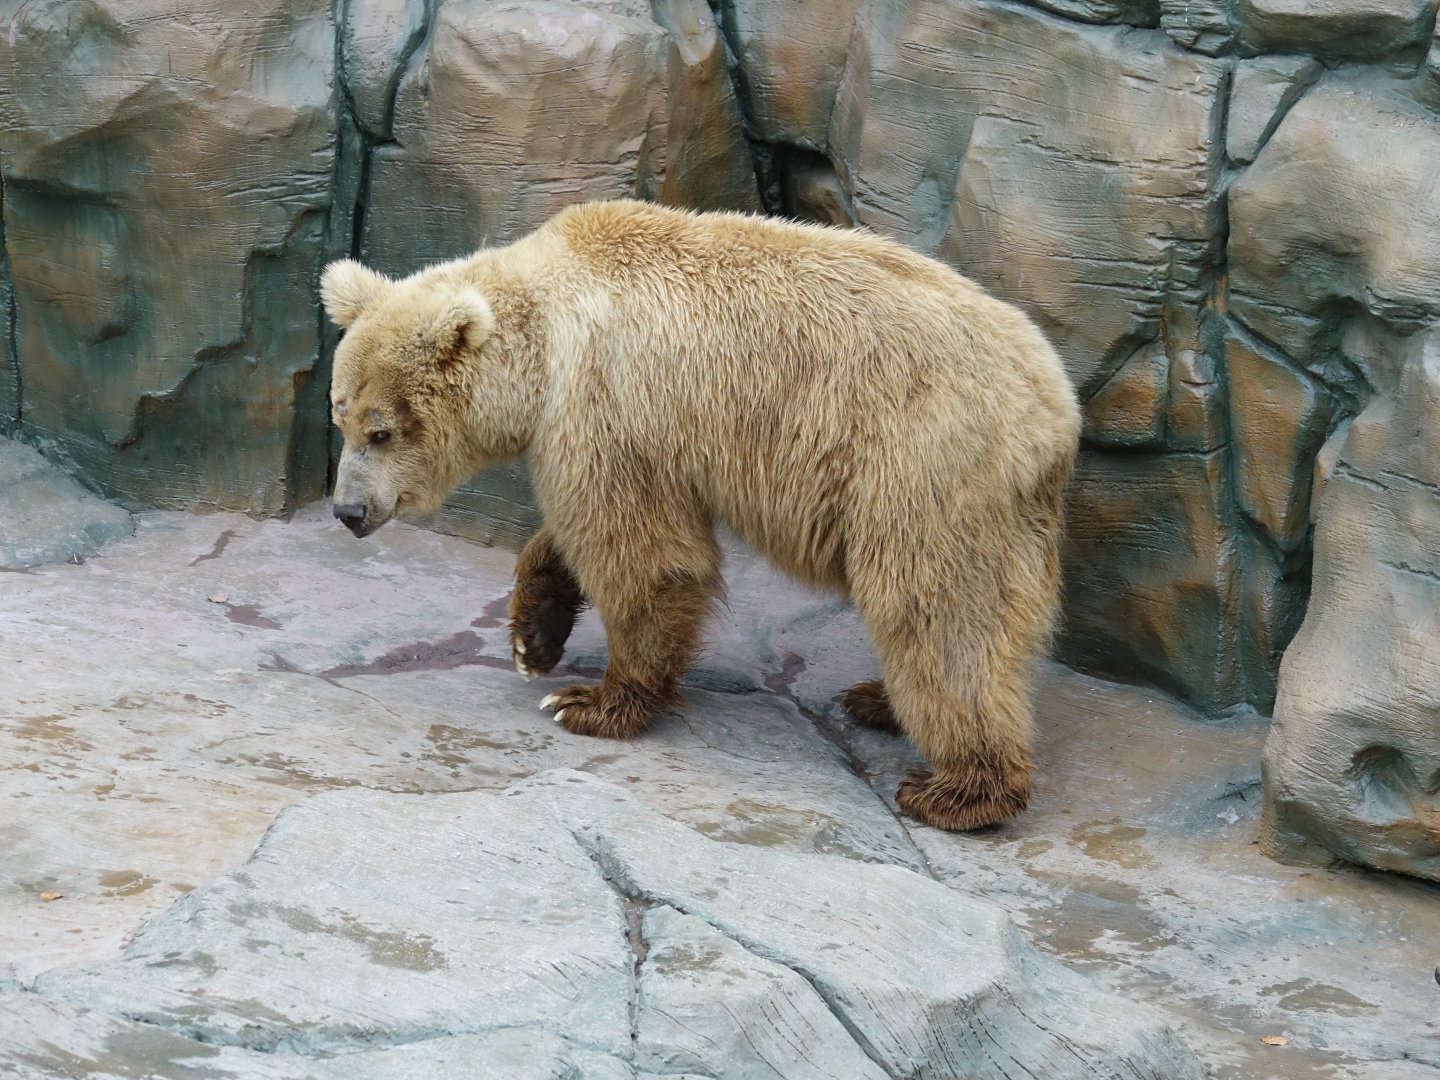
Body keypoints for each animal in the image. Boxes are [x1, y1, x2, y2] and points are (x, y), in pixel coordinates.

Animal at [320, 199, 1082, 831]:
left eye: (381, 430)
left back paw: (957, 789)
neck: (543, 339)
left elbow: (640, 548)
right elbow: (584, 534)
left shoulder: (606, 401)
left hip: (924, 461)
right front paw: (533, 637)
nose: (348, 510)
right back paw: (880, 701)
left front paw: (592, 702)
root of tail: (1055, 406)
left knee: (938, 610)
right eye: (340, 417)